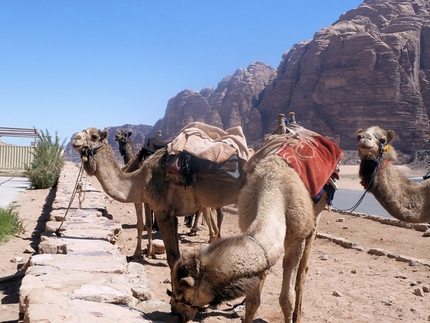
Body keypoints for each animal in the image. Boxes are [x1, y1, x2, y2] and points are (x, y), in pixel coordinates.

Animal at [71, 125, 249, 270]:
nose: (75, 139)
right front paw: (145, 252)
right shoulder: (167, 212)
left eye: (94, 136)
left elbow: (170, 255)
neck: (140, 178)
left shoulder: (162, 211)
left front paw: (141, 253)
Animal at [169, 123, 342, 322]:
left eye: (183, 292)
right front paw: (246, 305)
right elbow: (254, 300)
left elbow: (286, 299)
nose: (175, 312)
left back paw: (298, 314)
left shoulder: (296, 239)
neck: (275, 189)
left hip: (315, 217)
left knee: (302, 272)